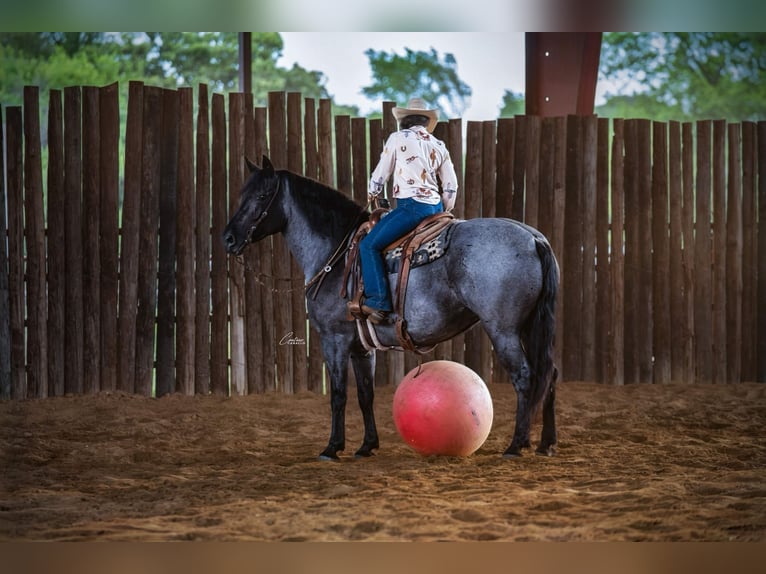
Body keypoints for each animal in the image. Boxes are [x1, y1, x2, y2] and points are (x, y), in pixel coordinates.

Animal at [223, 155, 560, 460]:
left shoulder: (333, 339)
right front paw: (366, 446)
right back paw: (546, 443)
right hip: (530, 327)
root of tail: (534, 238)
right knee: (550, 374)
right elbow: (365, 394)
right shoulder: (362, 347)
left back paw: (516, 445)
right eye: (241, 195)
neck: (335, 254)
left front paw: (332, 448)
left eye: (262, 196)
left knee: (525, 376)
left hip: (503, 330)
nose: (228, 238)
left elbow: (338, 394)